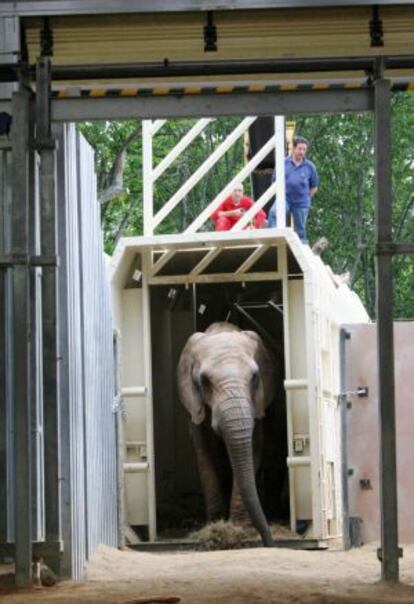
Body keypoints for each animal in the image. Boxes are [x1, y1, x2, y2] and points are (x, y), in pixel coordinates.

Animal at [175, 320, 278, 548]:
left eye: (255, 377)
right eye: (204, 380)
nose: (270, 542)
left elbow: (254, 448)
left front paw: (239, 528)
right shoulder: (195, 407)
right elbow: (204, 453)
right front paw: (215, 525)